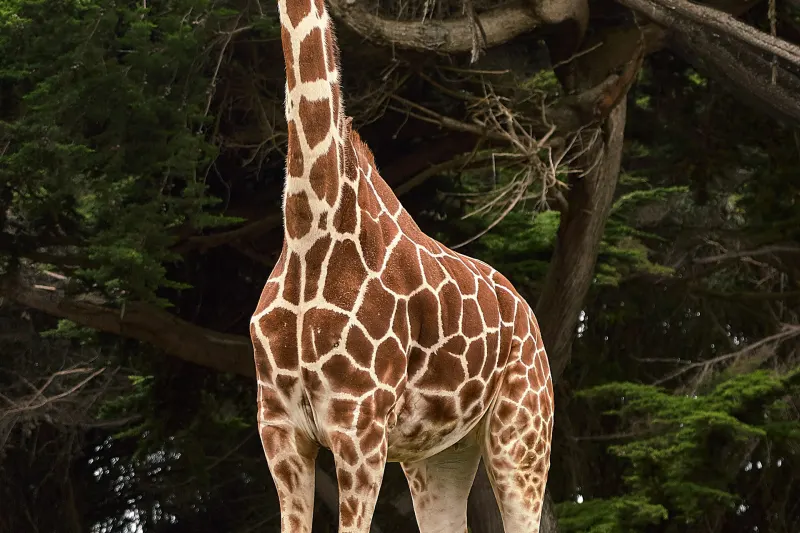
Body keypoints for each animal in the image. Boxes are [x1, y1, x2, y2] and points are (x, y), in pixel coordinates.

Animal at [249, 0, 554, 530]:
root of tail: (530, 319)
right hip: (439, 454)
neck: (310, 230)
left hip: (523, 435)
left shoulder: (359, 426)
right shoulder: (279, 426)